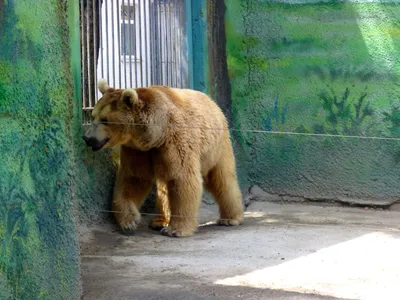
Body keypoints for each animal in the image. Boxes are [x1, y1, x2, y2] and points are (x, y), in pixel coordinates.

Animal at [83, 79, 242, 237]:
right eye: (93, 115)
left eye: (105, 120)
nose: (87, 138)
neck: (156, 134)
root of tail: (212, 101)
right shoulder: (138, 151)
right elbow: (134, 179)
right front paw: (130, 220)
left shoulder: (175, 141)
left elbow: (182, 180)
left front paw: (175, 229)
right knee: (164, 189)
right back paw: (159, 221)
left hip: (216, 148)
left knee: (222, 179)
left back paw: (231, 218)